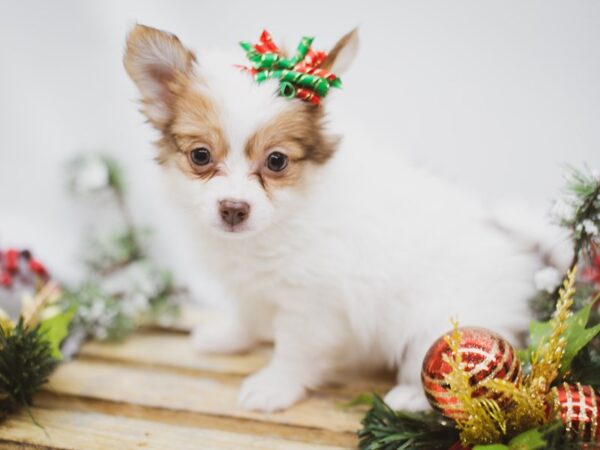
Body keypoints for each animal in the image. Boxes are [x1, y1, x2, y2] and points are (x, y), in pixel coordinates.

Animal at [123, 23, 556, 412]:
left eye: (276, 161)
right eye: (200, 156)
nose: (233, 209)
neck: (277, 224)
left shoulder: (312, 304)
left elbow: (293, 350)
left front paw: (273, 387)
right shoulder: (252, 289)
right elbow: (247, 315)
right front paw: (229, 337)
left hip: (441, 323)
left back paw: (413, 396)